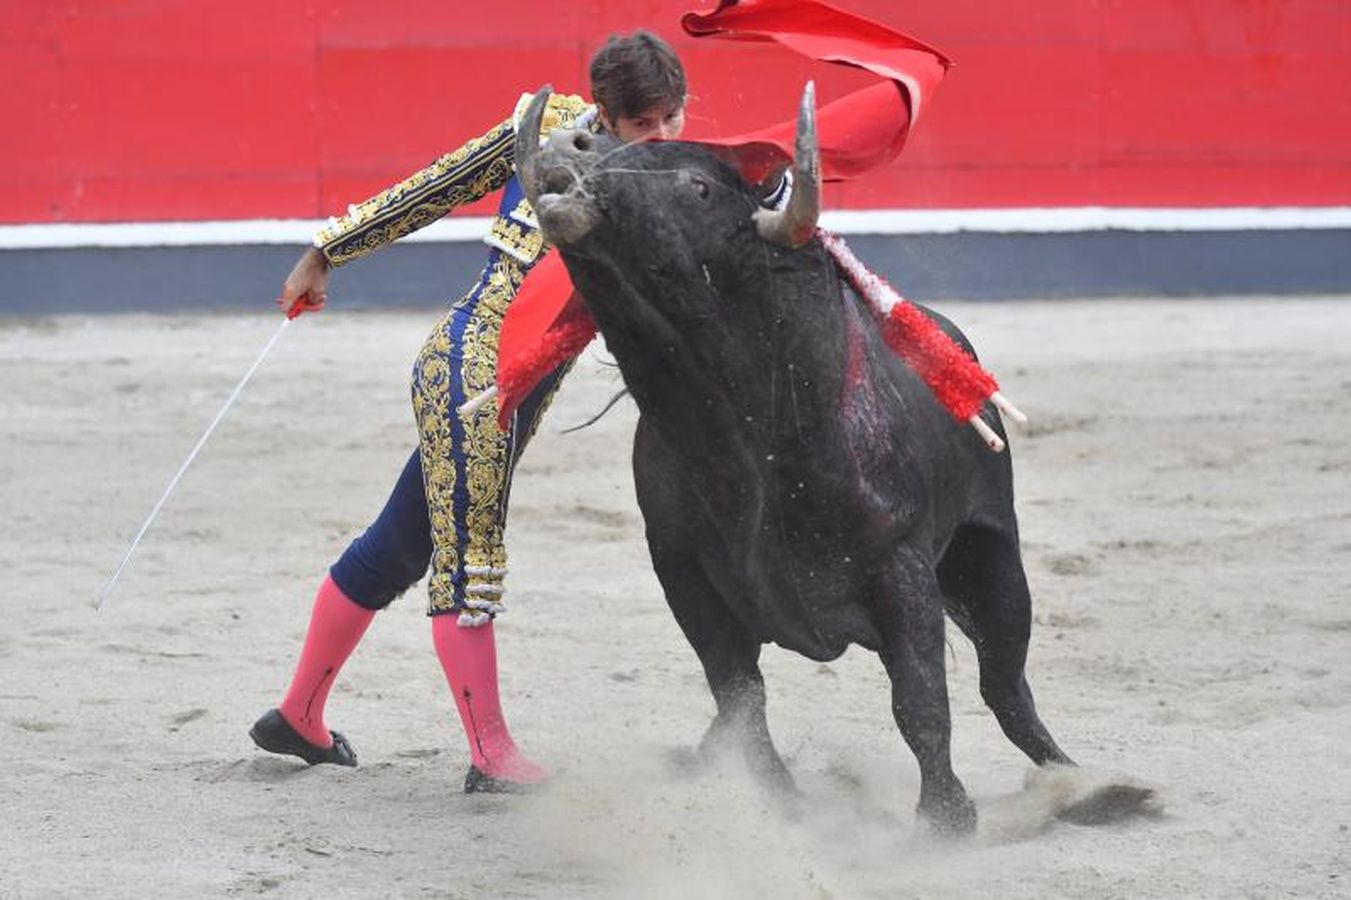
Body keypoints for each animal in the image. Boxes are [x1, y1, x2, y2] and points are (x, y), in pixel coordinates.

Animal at [513, 87, 1075, 832]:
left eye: (695, 186)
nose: (567, 148)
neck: (745, 434)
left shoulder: (900, 566)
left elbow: (920, 698)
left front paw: (947, 818)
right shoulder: (680, 569)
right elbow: (738, 693)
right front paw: (779, 802)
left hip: (991, 553)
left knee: (1005, 682)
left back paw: (1082, 783)